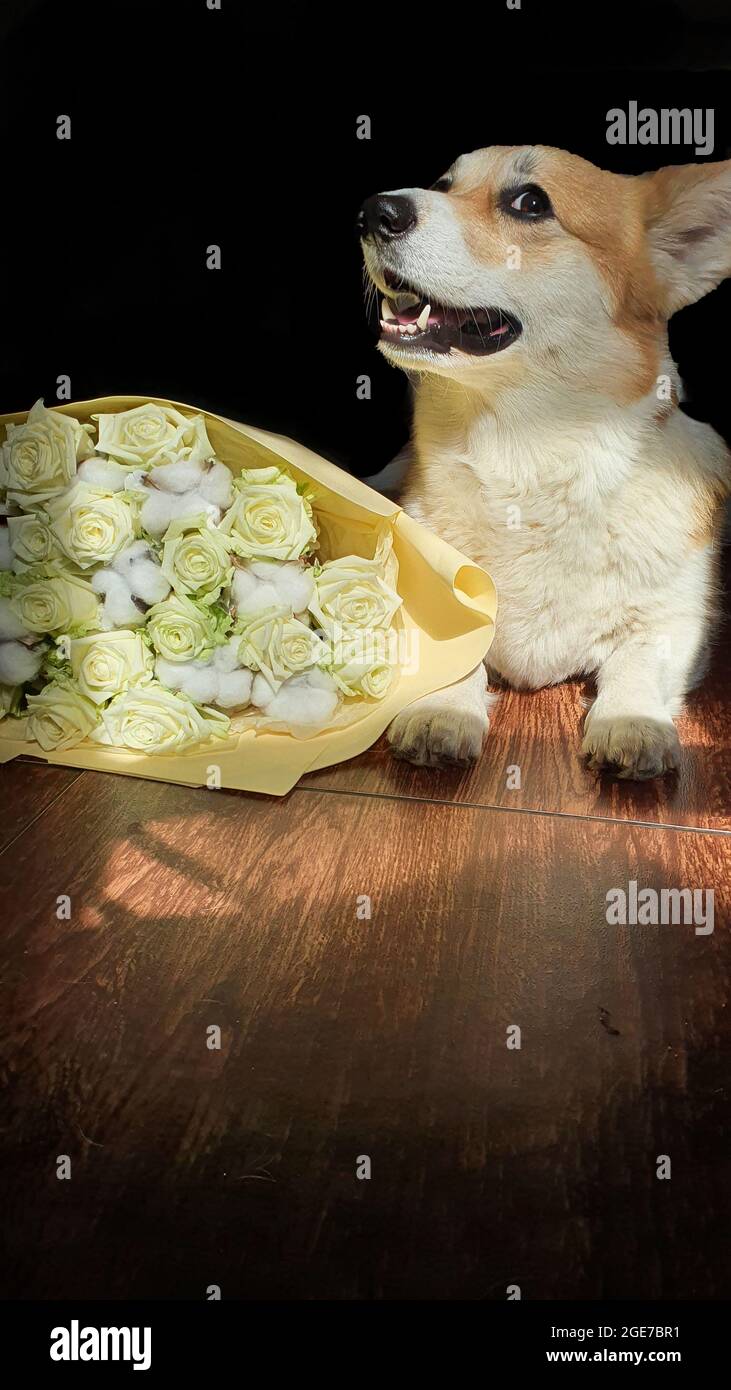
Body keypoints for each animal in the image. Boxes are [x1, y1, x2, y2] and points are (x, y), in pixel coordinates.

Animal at [361, 153, 731, 789]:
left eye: (530, 203)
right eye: (443, 184)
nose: (372, 211)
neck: (525, 460)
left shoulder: (675, 621)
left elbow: (638, 664)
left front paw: (632, 724)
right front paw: (444, 711)